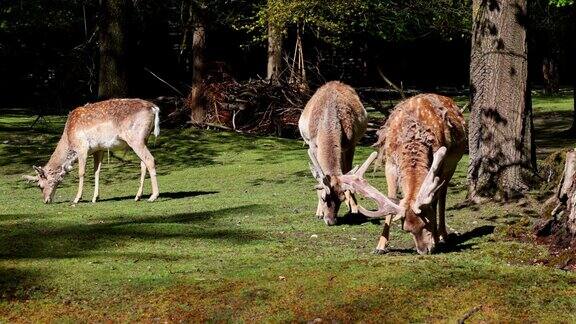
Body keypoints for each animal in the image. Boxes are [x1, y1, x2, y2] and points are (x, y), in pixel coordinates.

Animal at [23, 98, 161, 204]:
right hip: (144, 139)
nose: (46, 200)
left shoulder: (82, 147)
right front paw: (95, 198)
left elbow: (81, 172)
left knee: (150, 159)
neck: (68, 137)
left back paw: (153, 196)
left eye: (40, 185)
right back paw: (138, 196)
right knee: (143, 163)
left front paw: (77, 199)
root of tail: (154, 108)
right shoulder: (99, 149)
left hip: (136, 139)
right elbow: (97, 172)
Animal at [296, 81, 368, 225]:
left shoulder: (350, 144)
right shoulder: (312, 144)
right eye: (324, 198)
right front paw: (318, 213)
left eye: (341, 199)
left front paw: (354, 208)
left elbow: (347, 172)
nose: (330, 221)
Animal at [328, 95, 468, 254]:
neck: (413, 139)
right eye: (406, 229)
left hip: (453, 164)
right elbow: (392, 197)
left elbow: (433, 200)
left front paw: (435, 240)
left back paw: (443, 235)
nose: (423, 250)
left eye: (427, 222)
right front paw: (380, 246)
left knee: (442, 195)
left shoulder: (439, 163)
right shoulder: (390, 164)